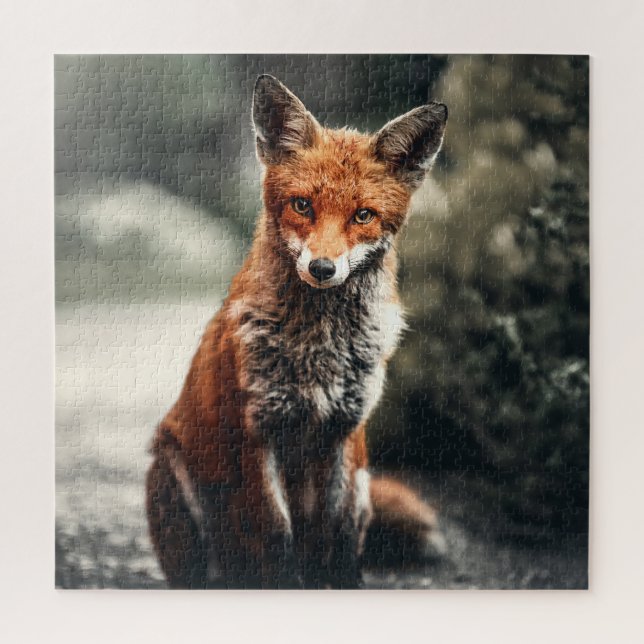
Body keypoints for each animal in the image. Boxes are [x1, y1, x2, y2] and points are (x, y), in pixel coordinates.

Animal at [146, 74, 448, 589]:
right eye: (302, 205)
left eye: (363, 215)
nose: (323, 268)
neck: (319, 347)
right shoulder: (257, 432)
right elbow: (275, 535)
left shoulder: (345, 431)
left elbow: (340, 537)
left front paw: (344, 583)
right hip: (173, 477)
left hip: (363, 479)